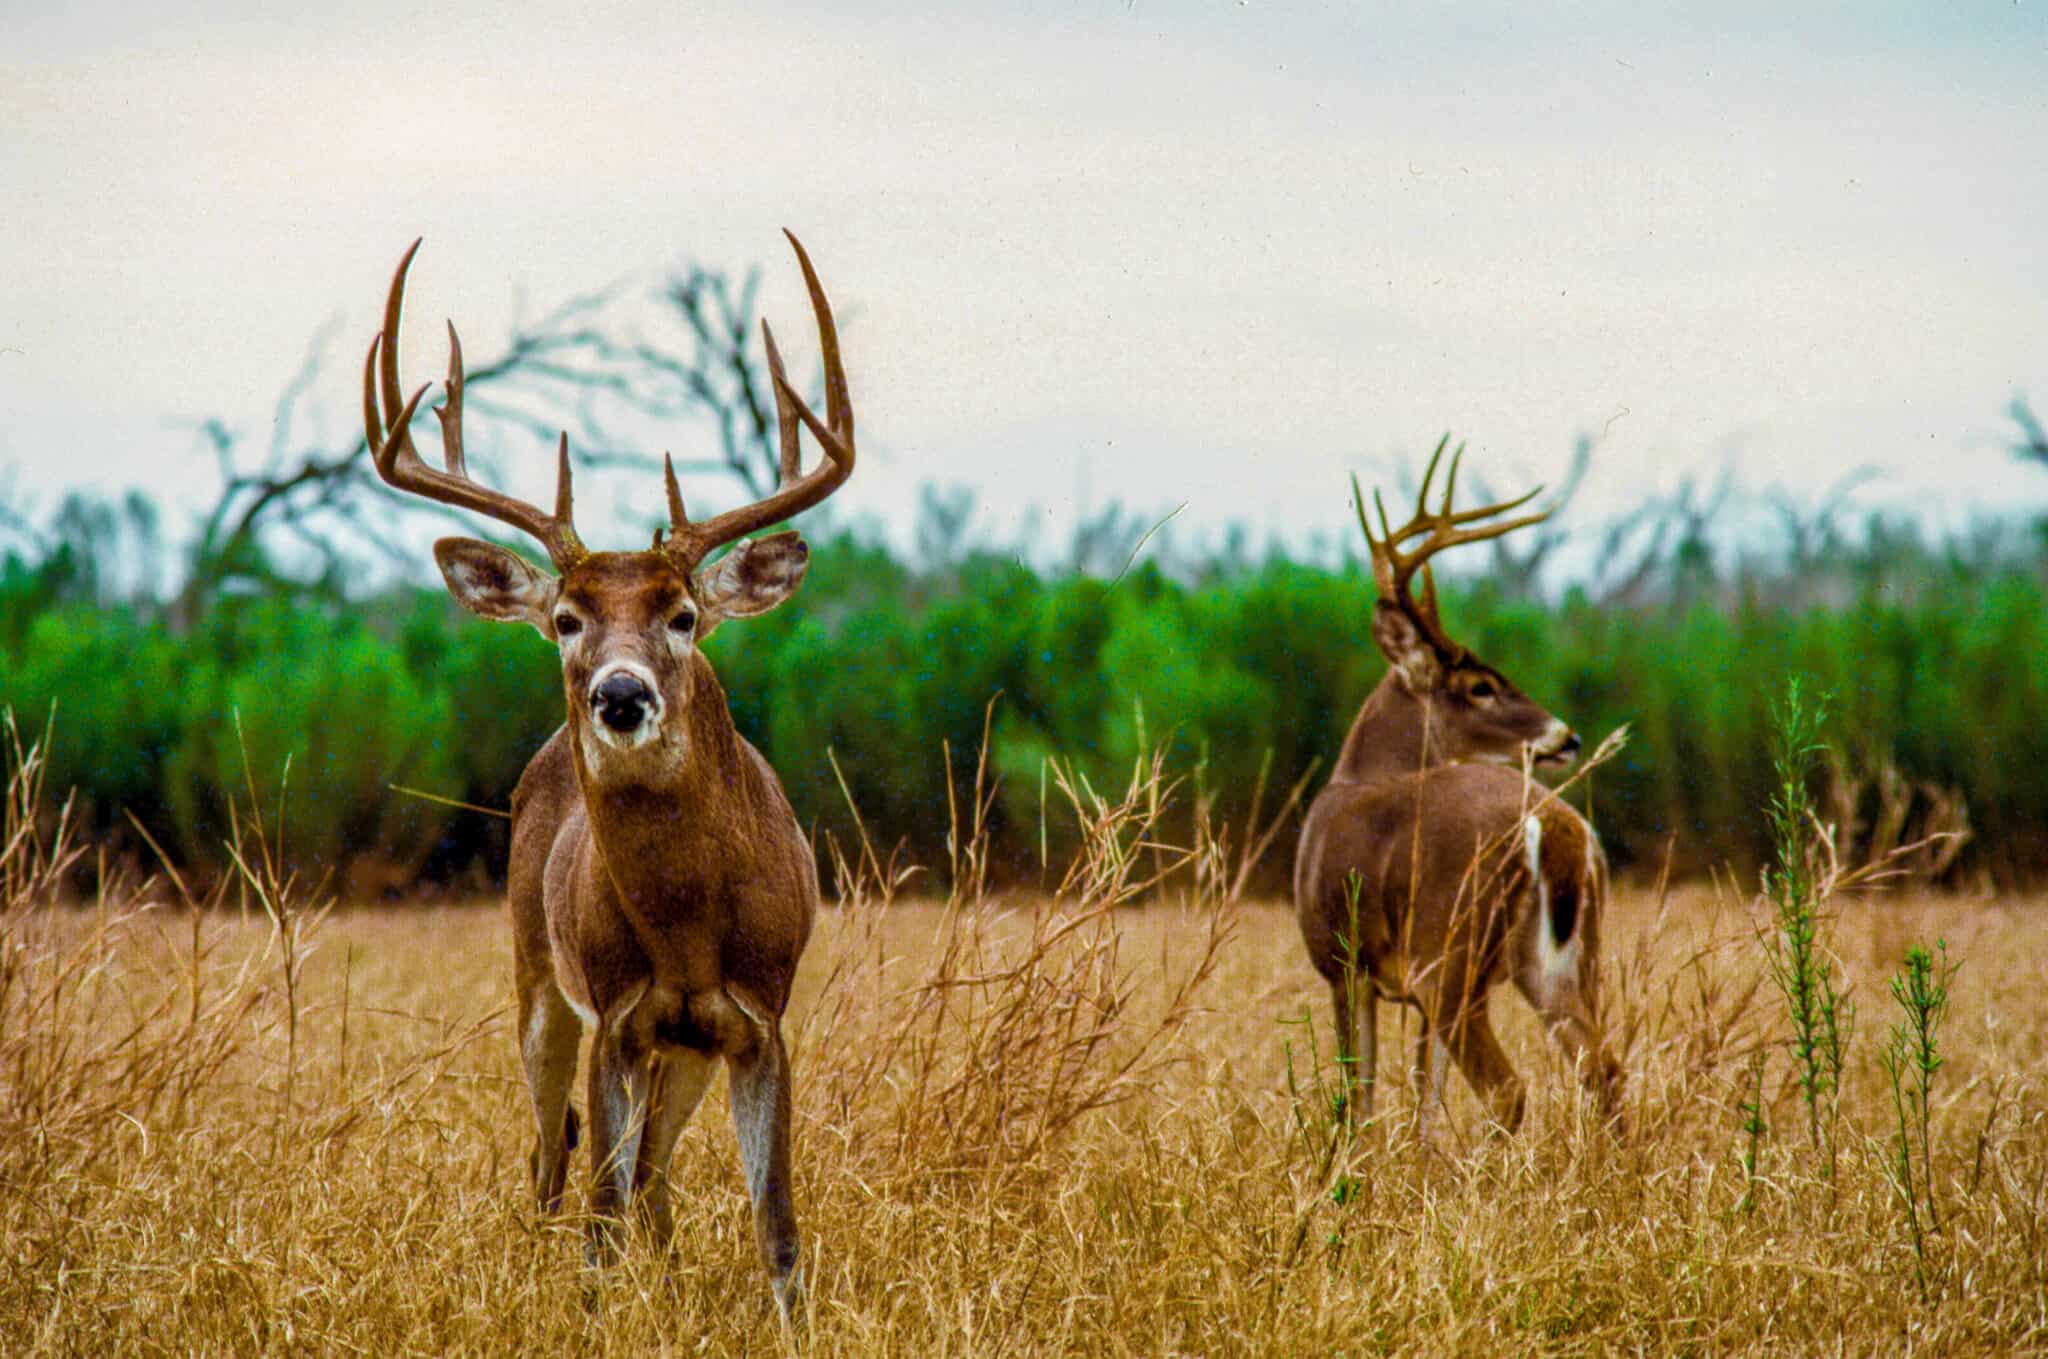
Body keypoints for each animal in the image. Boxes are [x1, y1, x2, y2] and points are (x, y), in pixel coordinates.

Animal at [360, 230, 855, 1318]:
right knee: (554, 1163)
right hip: (536, 979)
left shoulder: (760, 1017)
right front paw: (593, 1310)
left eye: (683, 613)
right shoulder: (616, 1019)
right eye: (565, 618)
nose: (620, 693)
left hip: (683, 1050)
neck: (688, 927)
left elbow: (780, 1229)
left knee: (657, 1174)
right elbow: (599, 1220)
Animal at [1293, 442, 1622, 1137]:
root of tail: (1554, 828)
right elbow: (1425, 1100)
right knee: (1604, 1072)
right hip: (1565, 963)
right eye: (1481, 686)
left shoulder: (1346, 964)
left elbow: (1360, 1101)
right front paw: (1422, 1167)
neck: (1355, 776)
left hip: (1448, 955)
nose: (1567, 736)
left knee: (1508, 1089)